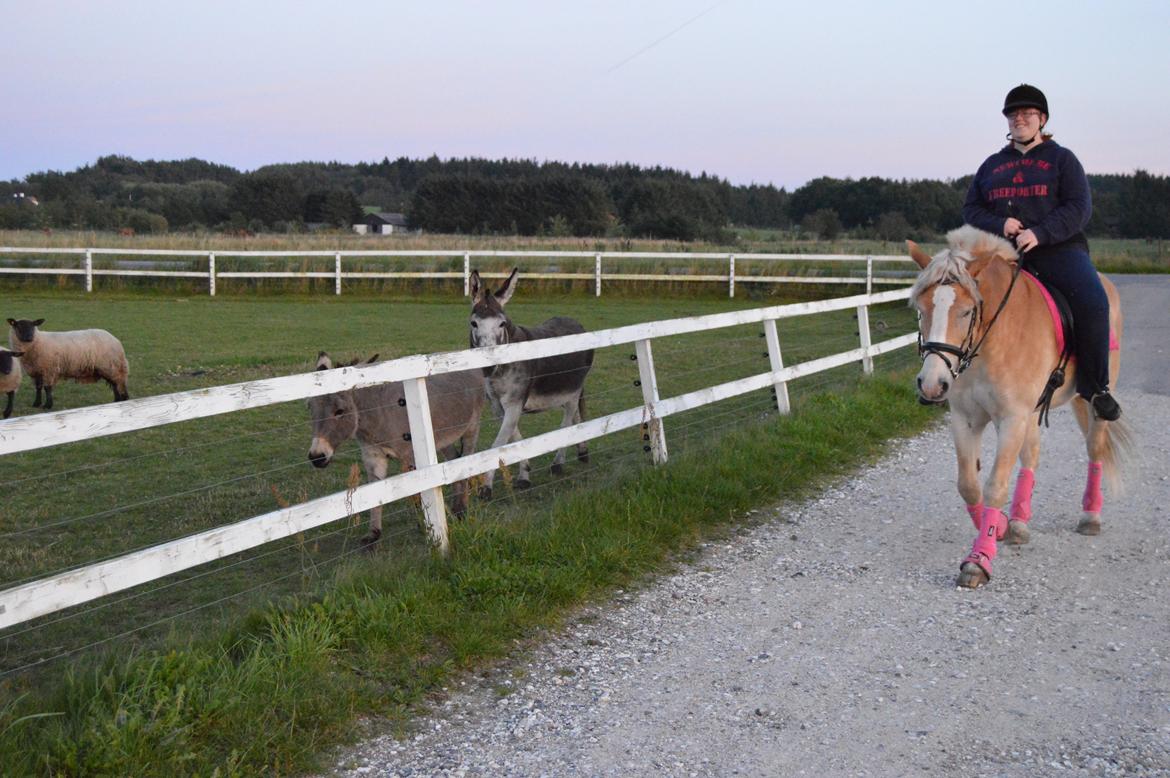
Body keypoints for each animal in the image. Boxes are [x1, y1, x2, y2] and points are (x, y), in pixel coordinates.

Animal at [306, 353, 484, 542]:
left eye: (340, 411)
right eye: (310, 408)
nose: (316, 457)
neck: (375, 412)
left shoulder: (411, 456)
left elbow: (417, 493)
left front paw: (424, 526)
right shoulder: (373, 455)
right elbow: (375, 493)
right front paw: (373, 534)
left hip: (472, 427)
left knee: (467, 462)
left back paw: (461, 510)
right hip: (442, 438)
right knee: (454, 461)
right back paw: (457, 508)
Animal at [467, 269, 594, 498]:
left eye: (501, 324)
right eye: (474, 323)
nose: (488, 366)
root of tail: (576, 323)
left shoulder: (515, 403)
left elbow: (498, 444)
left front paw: (486, 488)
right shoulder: (498, 406)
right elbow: (514, 438)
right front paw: (525, 474)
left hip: (573, 390)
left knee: (567, 420)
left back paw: (558, 464)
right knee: (576, 417)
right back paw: (582, 452)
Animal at [903, 224, 1132, 589]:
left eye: (966, 311)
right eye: (921, 310)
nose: (931, 384)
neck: (991, 341)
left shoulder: (1011, 418)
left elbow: (995, 486)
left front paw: (978, 560)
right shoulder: (967, 419)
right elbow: (969, 485)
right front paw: (999, 527)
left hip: (1091, 403)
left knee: (1094, 449)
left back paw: (1090, 517)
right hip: (1032, 413)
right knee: (1031, 457)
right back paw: (1019, 523)